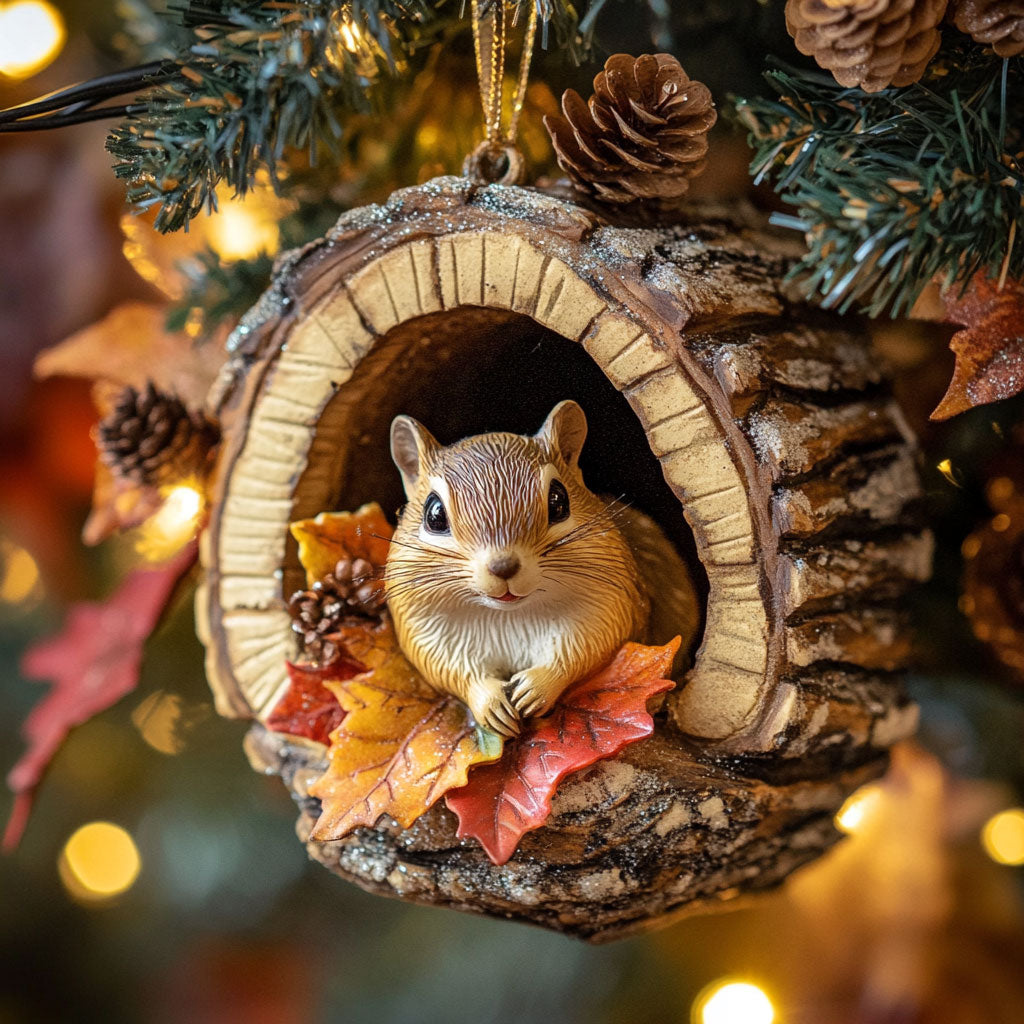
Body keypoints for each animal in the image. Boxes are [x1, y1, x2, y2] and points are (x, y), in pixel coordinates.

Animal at [385, 400, 695, 737]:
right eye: (434, 514)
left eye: (558, 501)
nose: (503, 566)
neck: (510, 615)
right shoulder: (427, 628)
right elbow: (447, 667)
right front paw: (490, 703)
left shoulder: (609, 608)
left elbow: (588, 649)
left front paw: (537, 687)